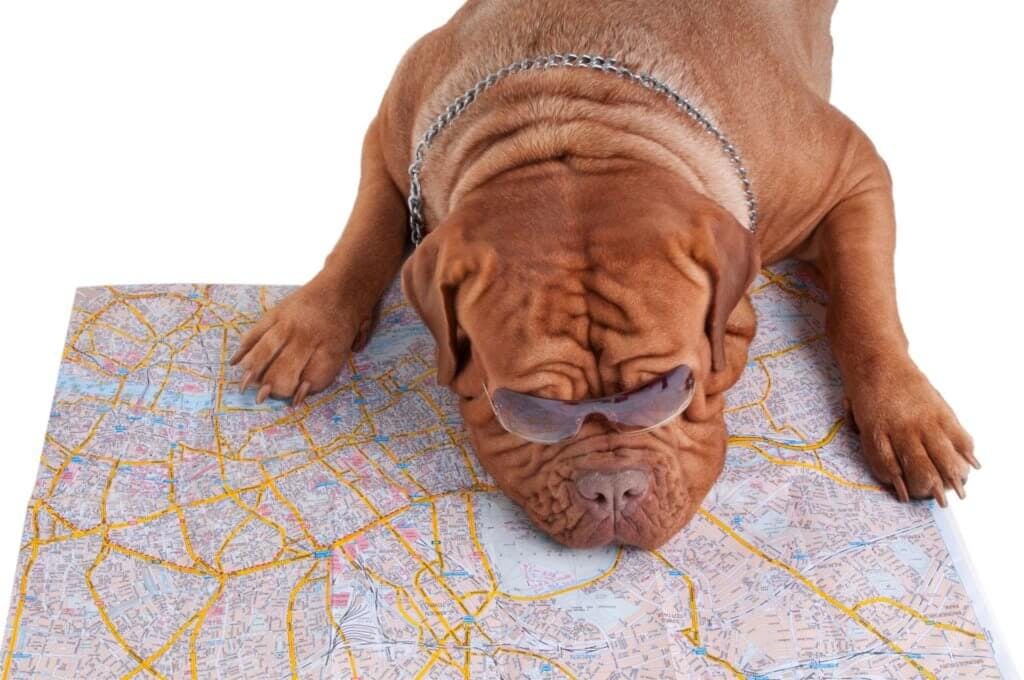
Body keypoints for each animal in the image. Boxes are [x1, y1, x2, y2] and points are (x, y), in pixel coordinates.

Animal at [230, 0, 974, 548]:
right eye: (527, 409)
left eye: (671, 386)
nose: (612, 491)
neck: (576, 122)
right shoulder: (392, 132)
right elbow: (365, 231)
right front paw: (306, 328)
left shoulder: (852, 170)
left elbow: (864, 306)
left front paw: (906, 418)